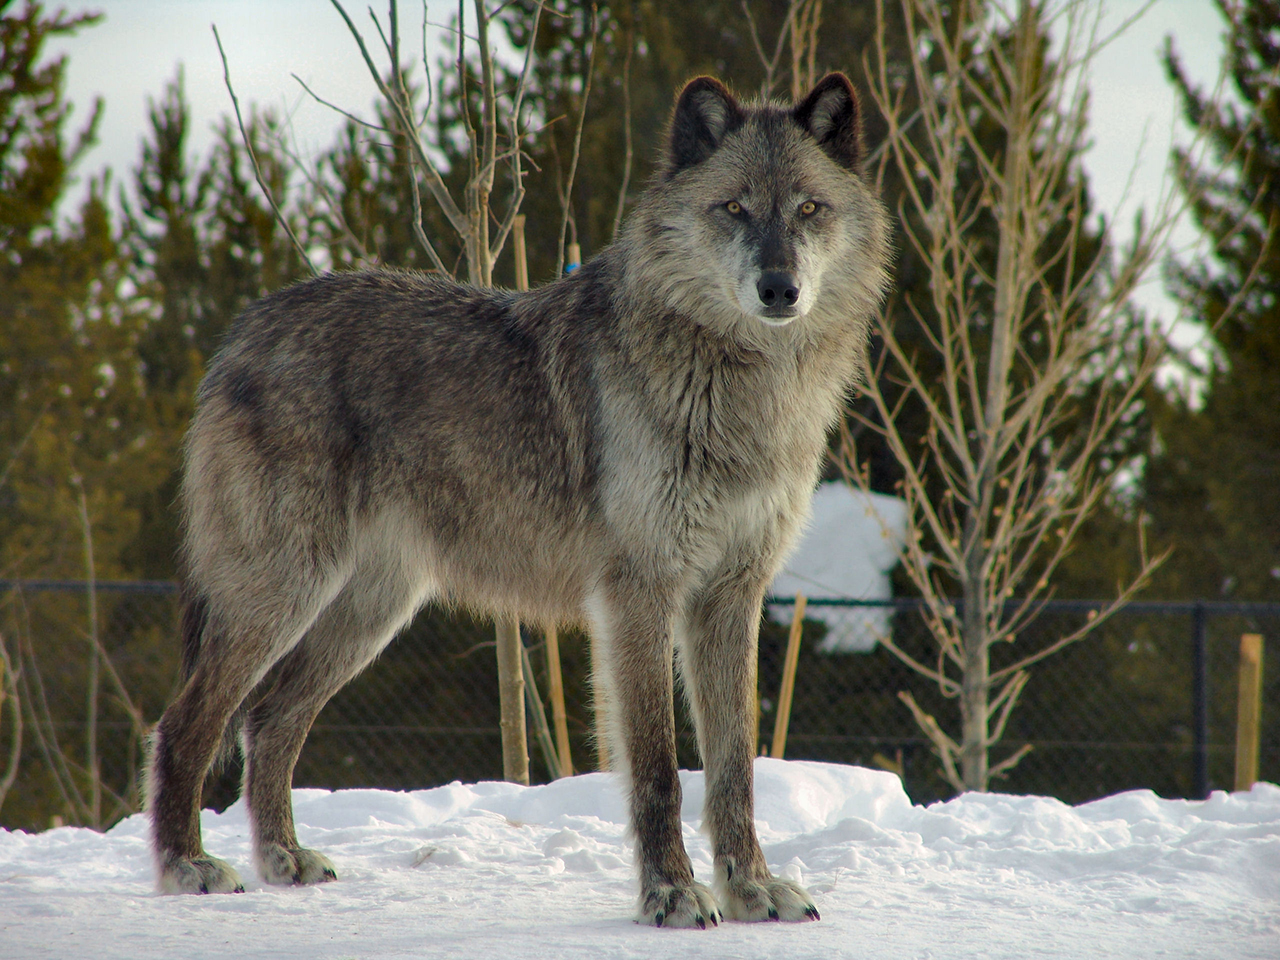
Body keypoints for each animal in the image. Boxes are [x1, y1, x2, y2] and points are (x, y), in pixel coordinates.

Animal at [147, 71, 890, 926]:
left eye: (809, 209)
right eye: (734, 207)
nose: (779, 288)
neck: (740, 388)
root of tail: (243, 330)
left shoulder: (730, 597)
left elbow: (735, 767)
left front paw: (750, 890)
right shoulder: (638, 595)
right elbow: (659, 771)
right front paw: (671, 895)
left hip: (366, 613)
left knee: (269, 721)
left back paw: (283, 859)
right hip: (282, 595)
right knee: (185, 725)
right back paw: (187, 867)